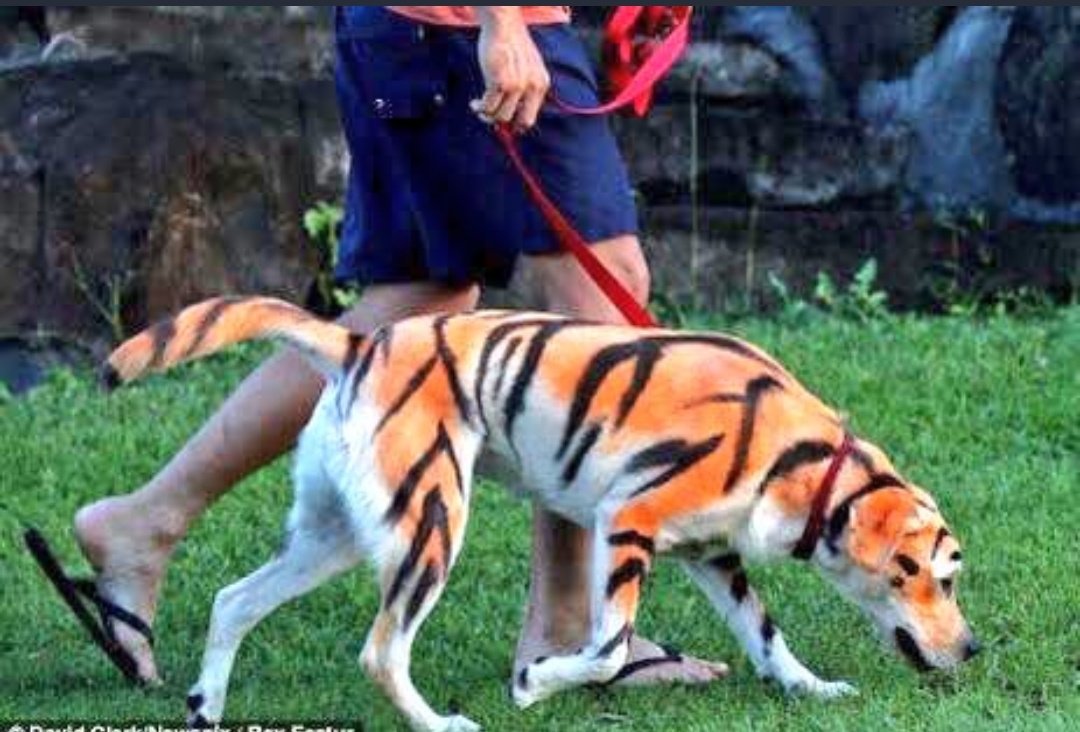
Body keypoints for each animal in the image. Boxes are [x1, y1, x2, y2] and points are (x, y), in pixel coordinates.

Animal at [103, 296, 979, 732]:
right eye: (931, 577)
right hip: (431, 525)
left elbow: (767, 637)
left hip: (334, 534)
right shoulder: (627, 522)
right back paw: (442, 725)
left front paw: (811, 688)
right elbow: (605, 647)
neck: (801, 460)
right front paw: (535, 684)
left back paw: (205, 709)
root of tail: (359, 343)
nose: (972, 649)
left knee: (232, 601)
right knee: (382, 651)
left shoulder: (710, 554)